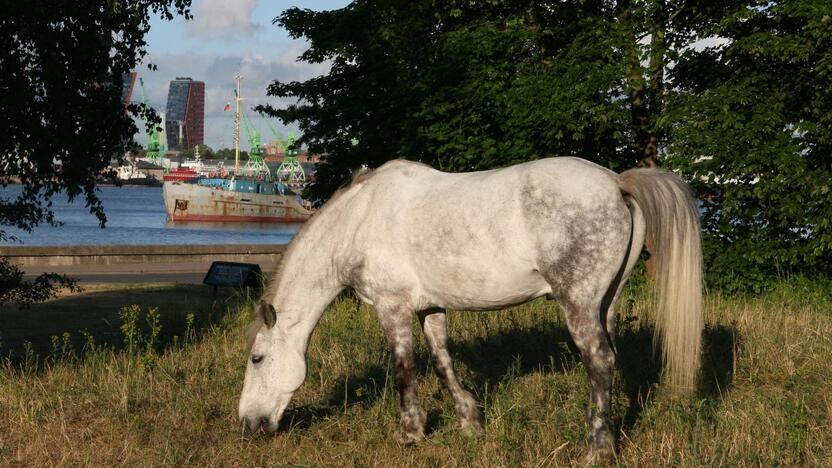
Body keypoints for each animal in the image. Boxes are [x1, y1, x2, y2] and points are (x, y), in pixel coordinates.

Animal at [240, 157, 704, 460]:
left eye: (257, 358)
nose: (247, 424)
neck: (360, 218)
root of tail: (615, 182)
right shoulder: (430, 308)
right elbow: (442, 361)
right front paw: (470, 422)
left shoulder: (392, 307)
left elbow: (404, 368)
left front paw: (410, 433)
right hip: (605, 303)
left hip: (580, 303)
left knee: (599, 361)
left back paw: (597, 449)